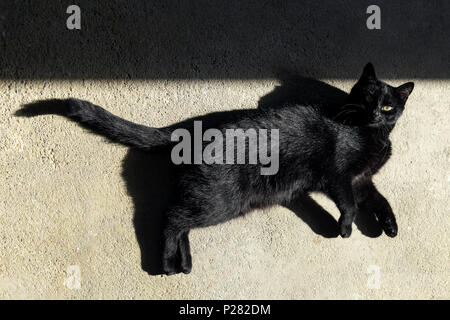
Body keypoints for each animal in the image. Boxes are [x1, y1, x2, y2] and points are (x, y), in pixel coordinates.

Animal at [15, 63, 414, 276]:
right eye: (367, 97)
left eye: (389, 106)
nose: (376, 112)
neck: (372, 134)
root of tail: (190, 132)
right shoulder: (339, 176)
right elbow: (348, 204)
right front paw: (345, 228)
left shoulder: (363, 180)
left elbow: (380, 201)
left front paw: (390, 227)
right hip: (221, 201)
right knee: (170, 217)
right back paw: (167, 265)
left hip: (212, 200)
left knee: (178, 220)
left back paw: (185, 262)